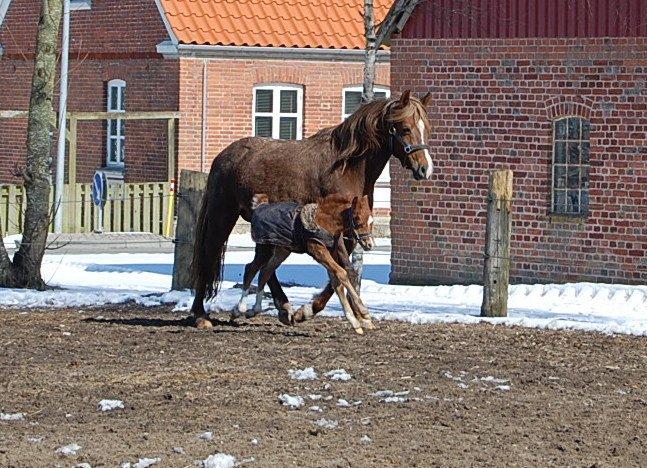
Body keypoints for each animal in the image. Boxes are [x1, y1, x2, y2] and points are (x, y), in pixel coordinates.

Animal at [234, 193, 375, 334]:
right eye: (357, 220)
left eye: (371, 221)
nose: (369, 244)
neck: (325, 222)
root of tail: (261, 205)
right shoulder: (317, 249)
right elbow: (341, 273)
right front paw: (364, 313)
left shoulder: (332, 251)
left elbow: (337, 282)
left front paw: (355, 322)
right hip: (265, 248)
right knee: (251, 268)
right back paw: (240, 308)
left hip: (281, 251)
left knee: (265, 271)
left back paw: (255, 309)